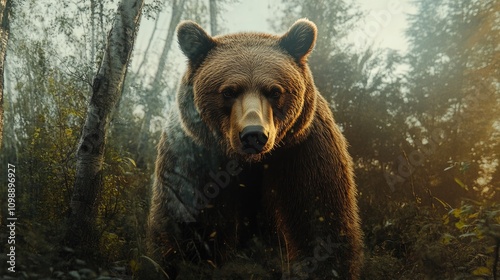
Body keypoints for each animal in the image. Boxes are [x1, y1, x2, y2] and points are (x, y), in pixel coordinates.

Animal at [147, 18, 364, 278]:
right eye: (228, 91)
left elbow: (320, 223)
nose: (253, 135)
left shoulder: (304, 153)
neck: (248, 163)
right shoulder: (193, 159)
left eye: (275, 91)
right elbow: (187, 226)